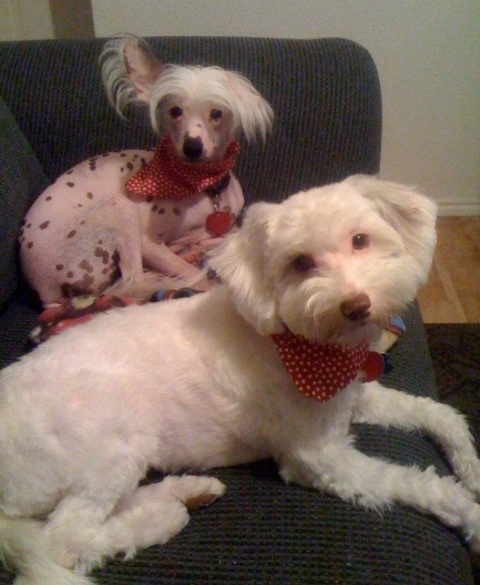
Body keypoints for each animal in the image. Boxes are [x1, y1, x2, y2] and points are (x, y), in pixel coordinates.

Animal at [0, 175, 480, 584]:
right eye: (300, 263)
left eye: (360, 240)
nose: (356, 306)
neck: (297, 345)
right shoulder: (320, 458)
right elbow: (411, 481)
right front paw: (470, 514)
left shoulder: (352, 398)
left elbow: (436, 412)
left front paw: (470, 466)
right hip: (110, 442)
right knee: (65, 538)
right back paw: (162, 519)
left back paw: (186, 492)